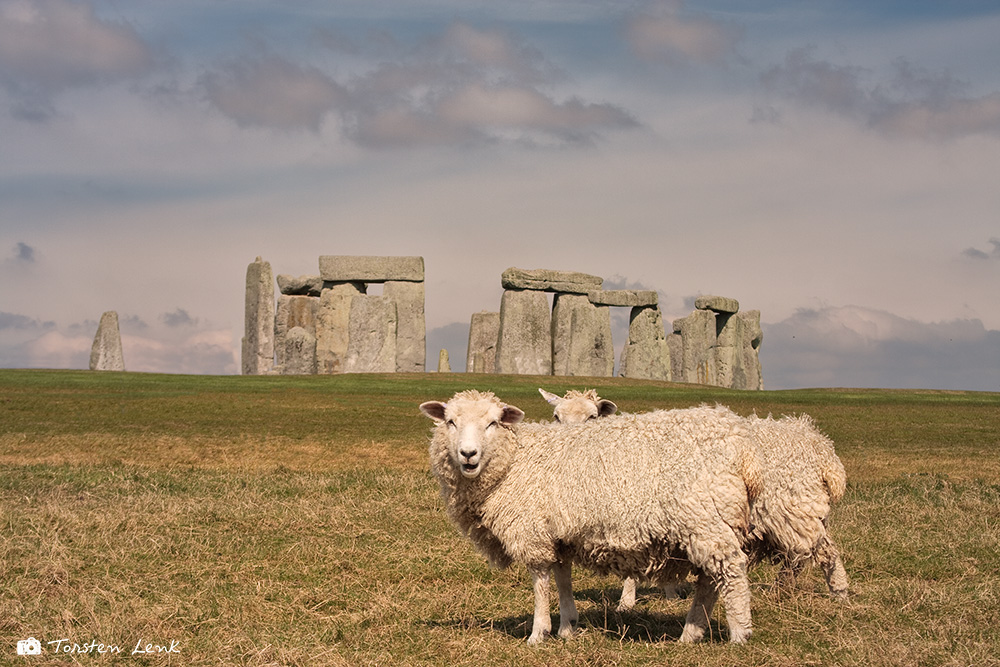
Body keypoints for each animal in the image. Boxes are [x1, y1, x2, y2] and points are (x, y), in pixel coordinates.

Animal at [418, 388, 760, 644]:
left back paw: (739, 634)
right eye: (450, 421)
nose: (468, 454)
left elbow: (540, 582)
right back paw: (692, 633)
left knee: (731, 573)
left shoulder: (532, 531)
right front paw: (568, 626)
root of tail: (737, 436)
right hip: (710, 525)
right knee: (709, 581)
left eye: (492, 422)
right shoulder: (558, 534)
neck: (515, 460)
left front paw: (538, 632)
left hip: (705, 520)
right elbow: (563, 579)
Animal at [540, 386, 852, 612]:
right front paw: (668, 592)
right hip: (798, 512)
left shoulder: (632, 515)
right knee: (801, 555)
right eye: (556, 417)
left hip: (792, 507)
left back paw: (839, 594)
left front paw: (626, 603)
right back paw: (783, 589)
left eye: (591, 417)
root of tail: (815, 440)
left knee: (823, 552)